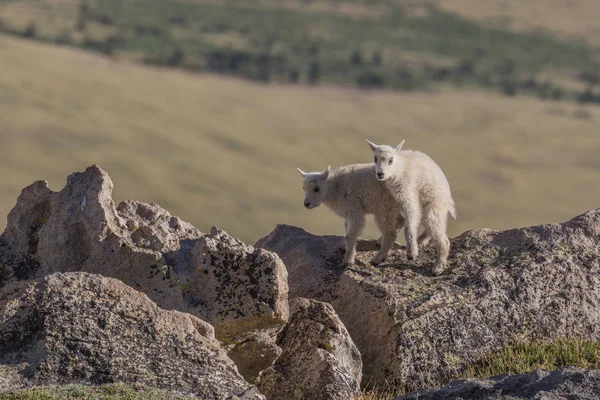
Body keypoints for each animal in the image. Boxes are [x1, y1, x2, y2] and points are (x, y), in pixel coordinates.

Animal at [366, 140, 454, 276]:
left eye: (391, 160)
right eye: (375, 158)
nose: (380, 174)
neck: (399, 169)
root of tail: (448, 200)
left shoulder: (408, 193)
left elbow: (409, 224)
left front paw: (411, 254)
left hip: (432, 204)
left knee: (442, 237)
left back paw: (438, 267)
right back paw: (420, 241)